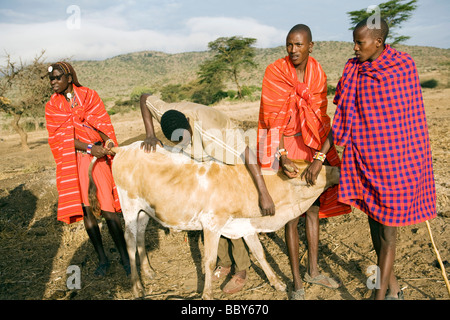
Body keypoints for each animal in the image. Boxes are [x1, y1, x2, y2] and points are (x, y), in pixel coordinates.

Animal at [90, 141, 338, 298]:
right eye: (313, 175)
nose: (336, 169)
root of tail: (124, 148)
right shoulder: (211, 225)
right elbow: (209, 261)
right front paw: (207, 294)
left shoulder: (244, 224)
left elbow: (259, 253)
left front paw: (276, 282)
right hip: (129, 207)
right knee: (130, 241)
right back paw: (137, 287)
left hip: (144, 211)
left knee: (140, 236)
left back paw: (149, 272)